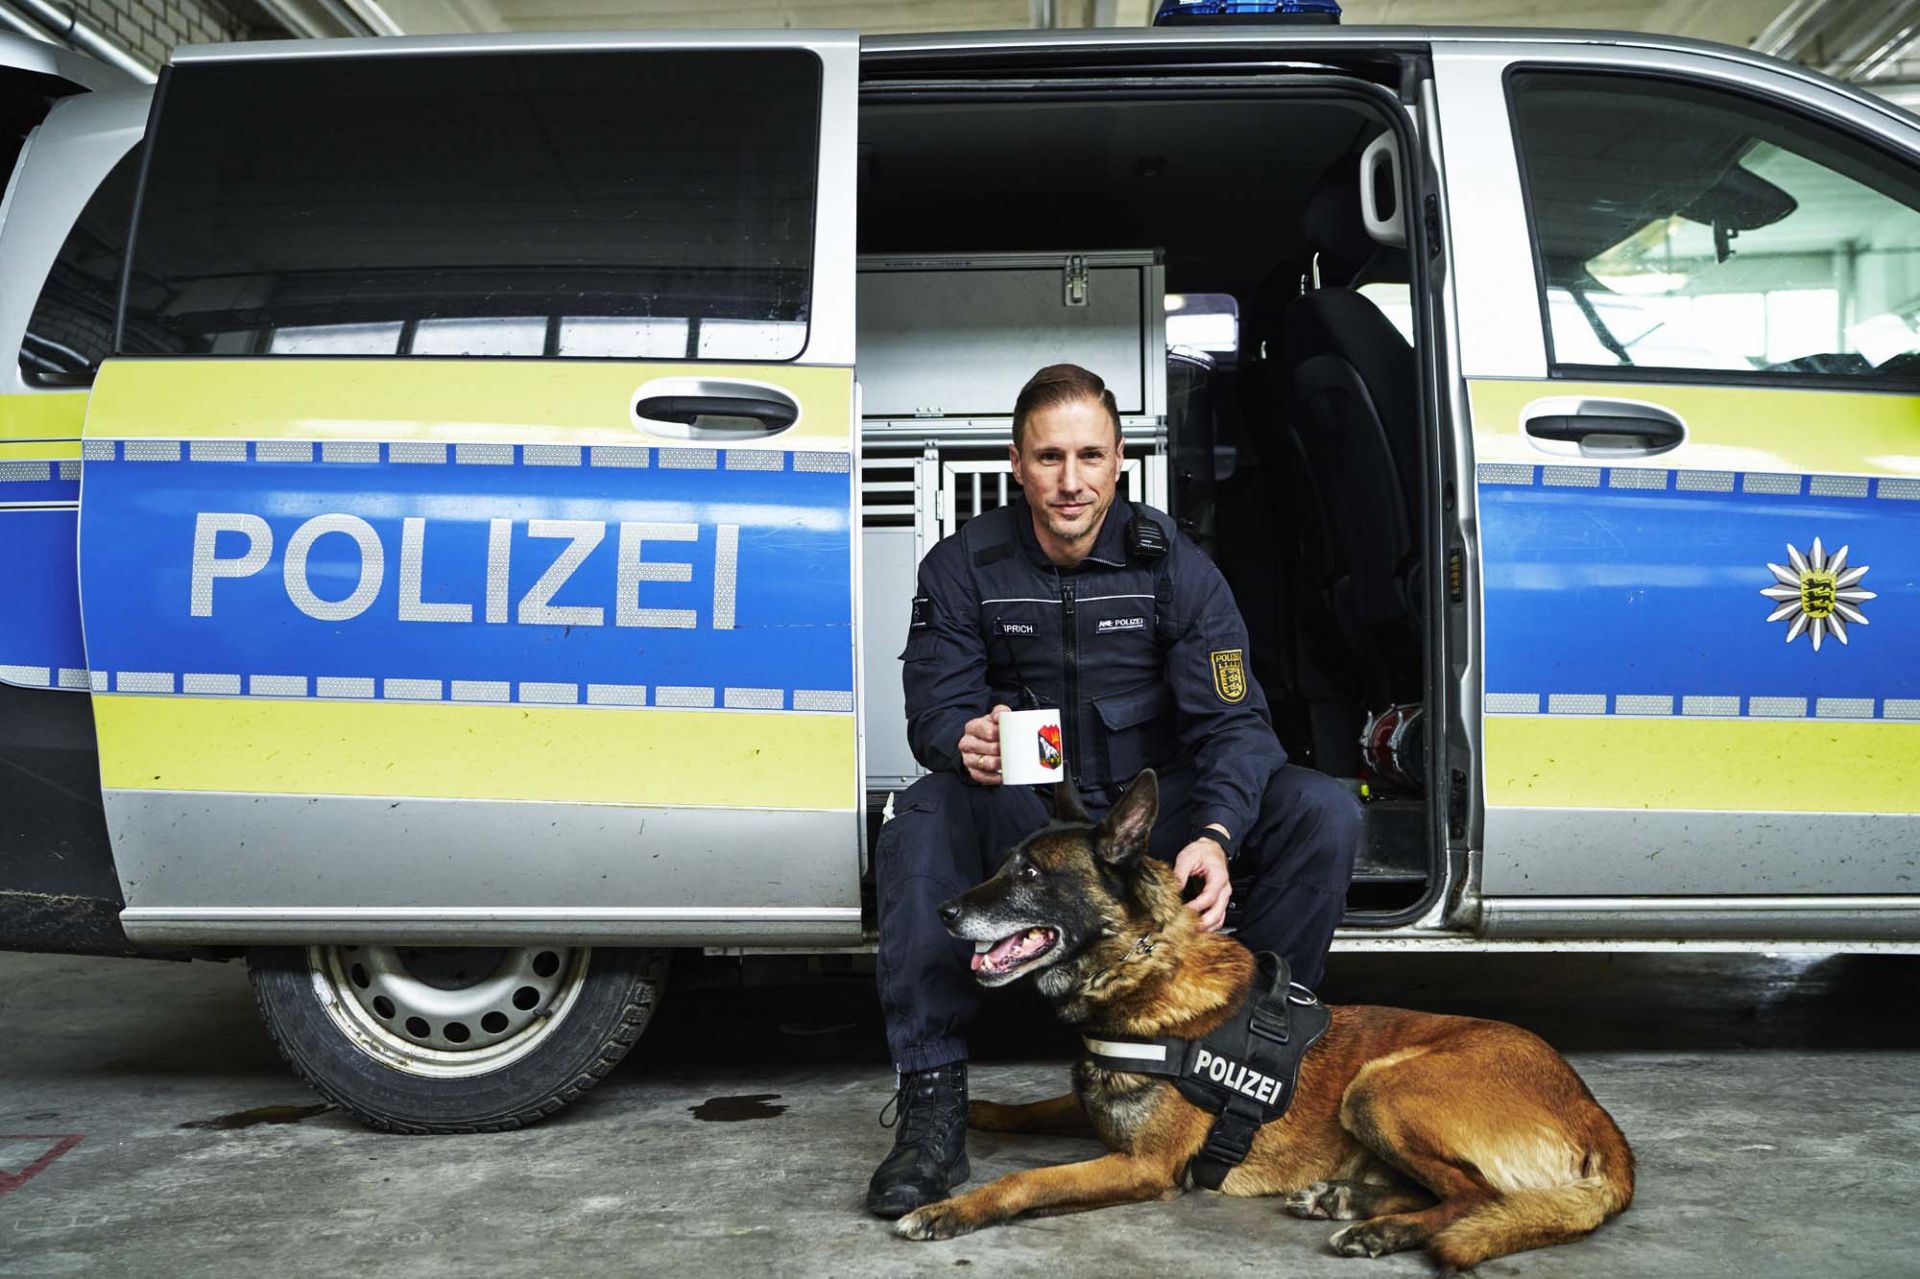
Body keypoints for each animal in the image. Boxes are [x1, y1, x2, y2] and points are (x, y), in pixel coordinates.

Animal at [894, 770, 1634, 1269]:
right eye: (1004, 863)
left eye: (1029, 873)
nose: (944, 912)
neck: (1140, 969)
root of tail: (1594, 1111)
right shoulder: (1092, 1107)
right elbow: (1032, 1108)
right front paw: (979, 1110)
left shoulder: (1144, 1165)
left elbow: (1024, 1180)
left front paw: (946, 1210)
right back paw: (1343, 1200)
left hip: (1380, 1087)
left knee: (1476, 1195)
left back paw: (1378, 1230)